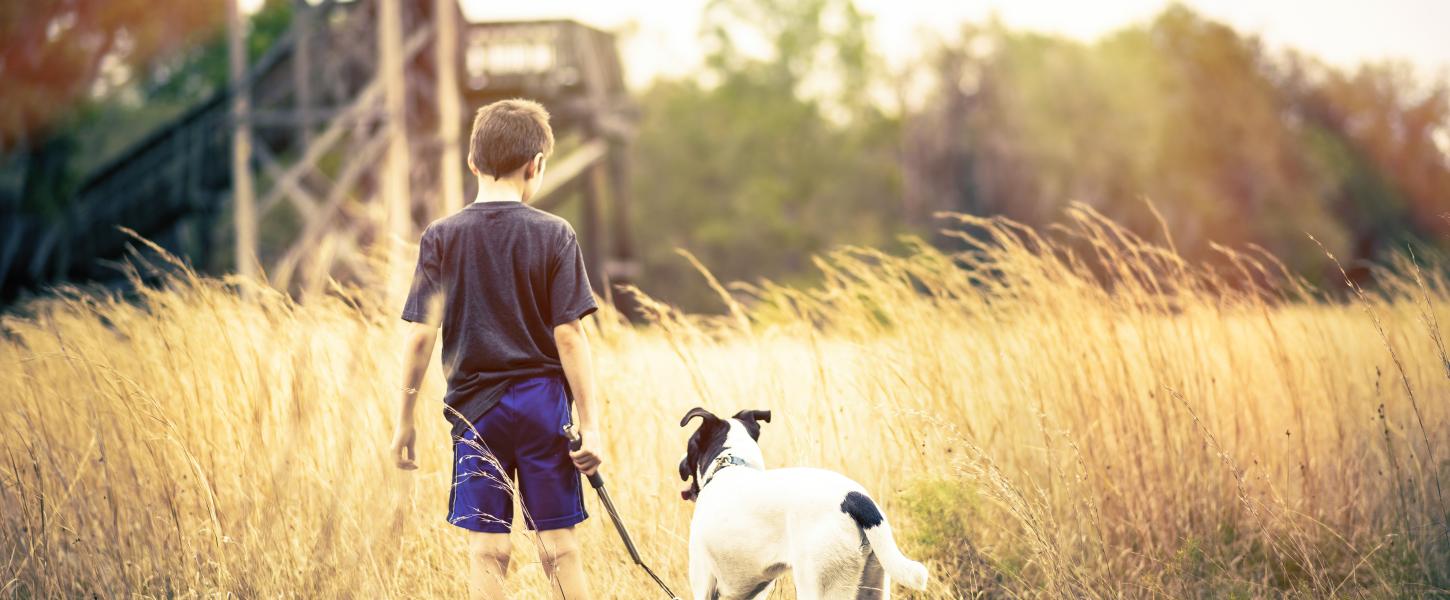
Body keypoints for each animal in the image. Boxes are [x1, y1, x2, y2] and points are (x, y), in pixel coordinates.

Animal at [678, 408, 928, 600]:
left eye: (691, 442)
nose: (680, 465)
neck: (730, 464)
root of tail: (856, 498)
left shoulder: (703, 583)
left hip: (819, 585)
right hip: (873, 582)